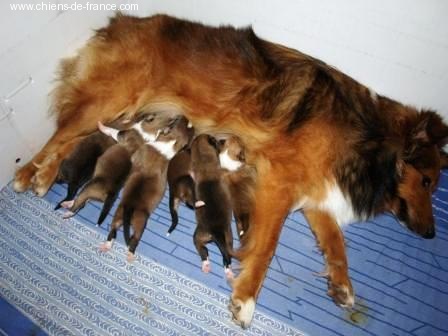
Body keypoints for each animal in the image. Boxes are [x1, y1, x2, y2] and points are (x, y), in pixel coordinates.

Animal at [100, 117, 192, 262]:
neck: (169, 143)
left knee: (129, 237)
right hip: (123, 216)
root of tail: (130, 208)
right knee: (118, 232)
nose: (185, 117)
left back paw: (127, 253)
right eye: (180, 121)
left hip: (134, 221)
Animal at [189, 135, 234, 280]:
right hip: (227, 237)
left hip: (202, 236)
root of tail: (216, 231)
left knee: (206, 251)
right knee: (224, 256)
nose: (220, 139)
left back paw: (209, 265)